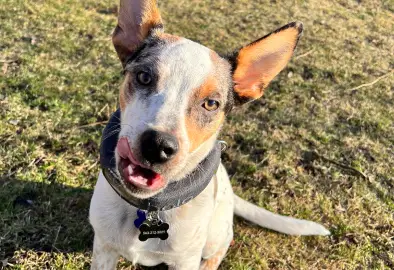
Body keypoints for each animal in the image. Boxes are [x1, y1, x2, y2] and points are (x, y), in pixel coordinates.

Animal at [89, 1, 330, 268]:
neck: (150, 208)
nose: (158, 146)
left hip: (215, 234)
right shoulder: (104, 248)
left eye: (211, 103)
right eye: (144, 77)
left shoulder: (185, 260)